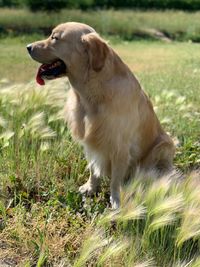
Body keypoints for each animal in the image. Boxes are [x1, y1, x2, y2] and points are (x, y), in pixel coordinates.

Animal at [27, 22, 175, 209]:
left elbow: (115, 179)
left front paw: (116, 200)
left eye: (55, 38)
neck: (91, 94)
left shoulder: (119, 146)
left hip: (164, 145)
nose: (28, 47)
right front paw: (90, 187)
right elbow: (93, 168)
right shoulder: (90, 140)